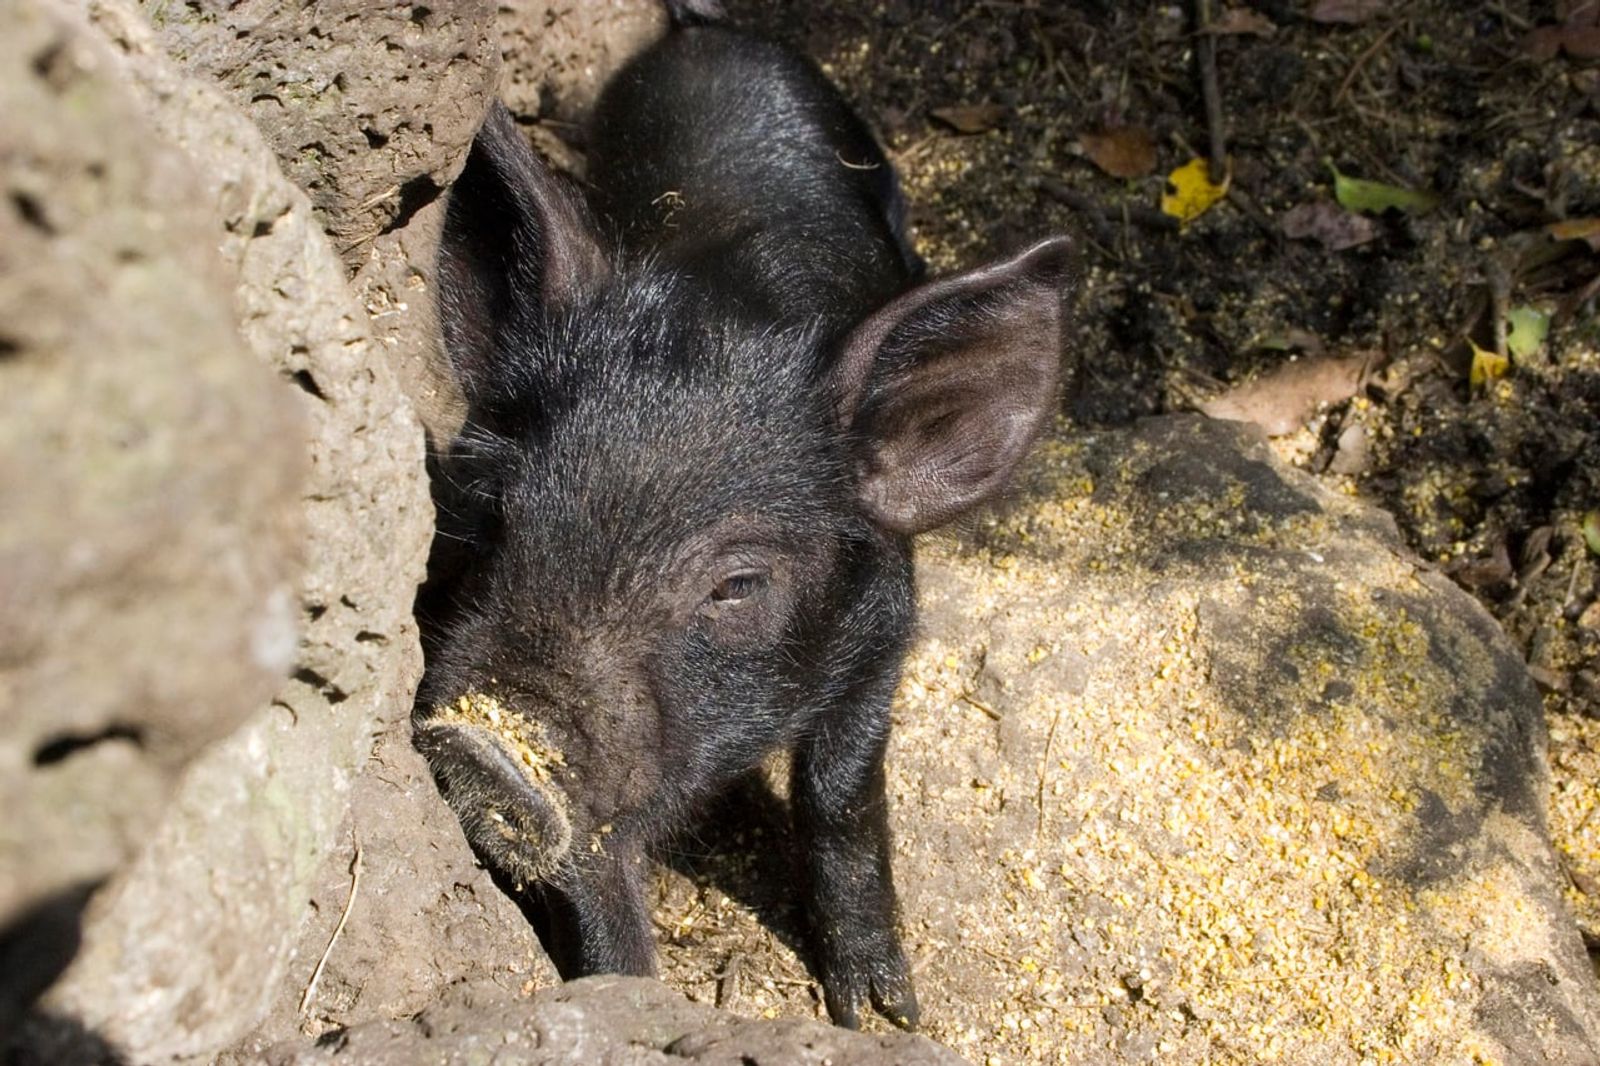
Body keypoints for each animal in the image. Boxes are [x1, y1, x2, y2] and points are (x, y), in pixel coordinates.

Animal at [413, 1, 1072, 1030]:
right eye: (498, 517)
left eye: (737, 584)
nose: (484, 744)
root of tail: (702, 30)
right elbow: (596, 877)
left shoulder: (883, 625)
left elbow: (842, 793)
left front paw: (882, 1013)